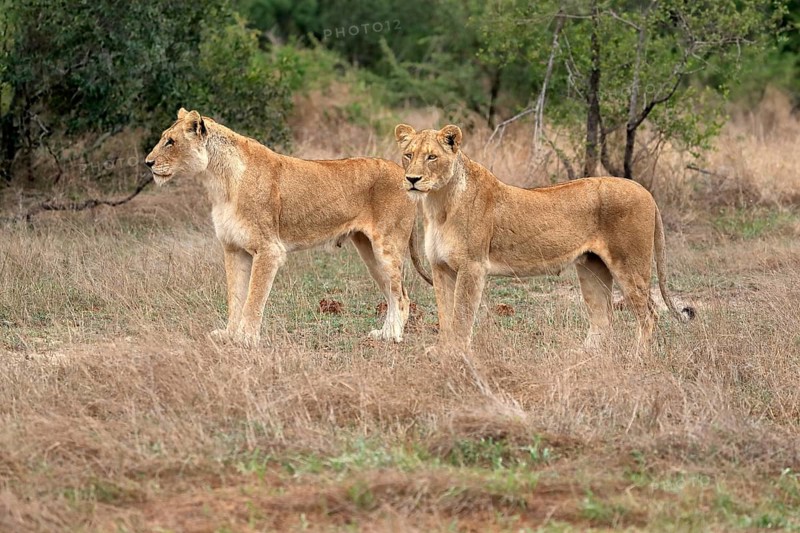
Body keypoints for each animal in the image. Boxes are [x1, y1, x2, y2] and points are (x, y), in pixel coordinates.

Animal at [144, 108, 431, 347]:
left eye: (170, 142)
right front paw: (229, 335)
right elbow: (235, 297)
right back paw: (384, 334)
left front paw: (246, 339)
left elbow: (253, 299)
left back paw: (393, 337)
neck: (218, 181)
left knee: (402, 296)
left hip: (387, 246)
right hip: (368, 250)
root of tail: (404, 172)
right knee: (393, 293)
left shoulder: (269, 250)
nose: (148, 163)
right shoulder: (233, 249)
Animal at [394, 123, 694, 353]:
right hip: (592, 267)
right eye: (408, 155)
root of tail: (646, 192)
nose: (412, 179)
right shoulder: (440, 267)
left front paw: (456, 354)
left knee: (649, 313)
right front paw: (442, 350)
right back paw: (583, 355)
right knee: (603, 317)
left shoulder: (472, 267)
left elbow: (461, 315)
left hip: (629, 265)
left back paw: (636, 356)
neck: (438, 204)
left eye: (432, 157)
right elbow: (445, 314)